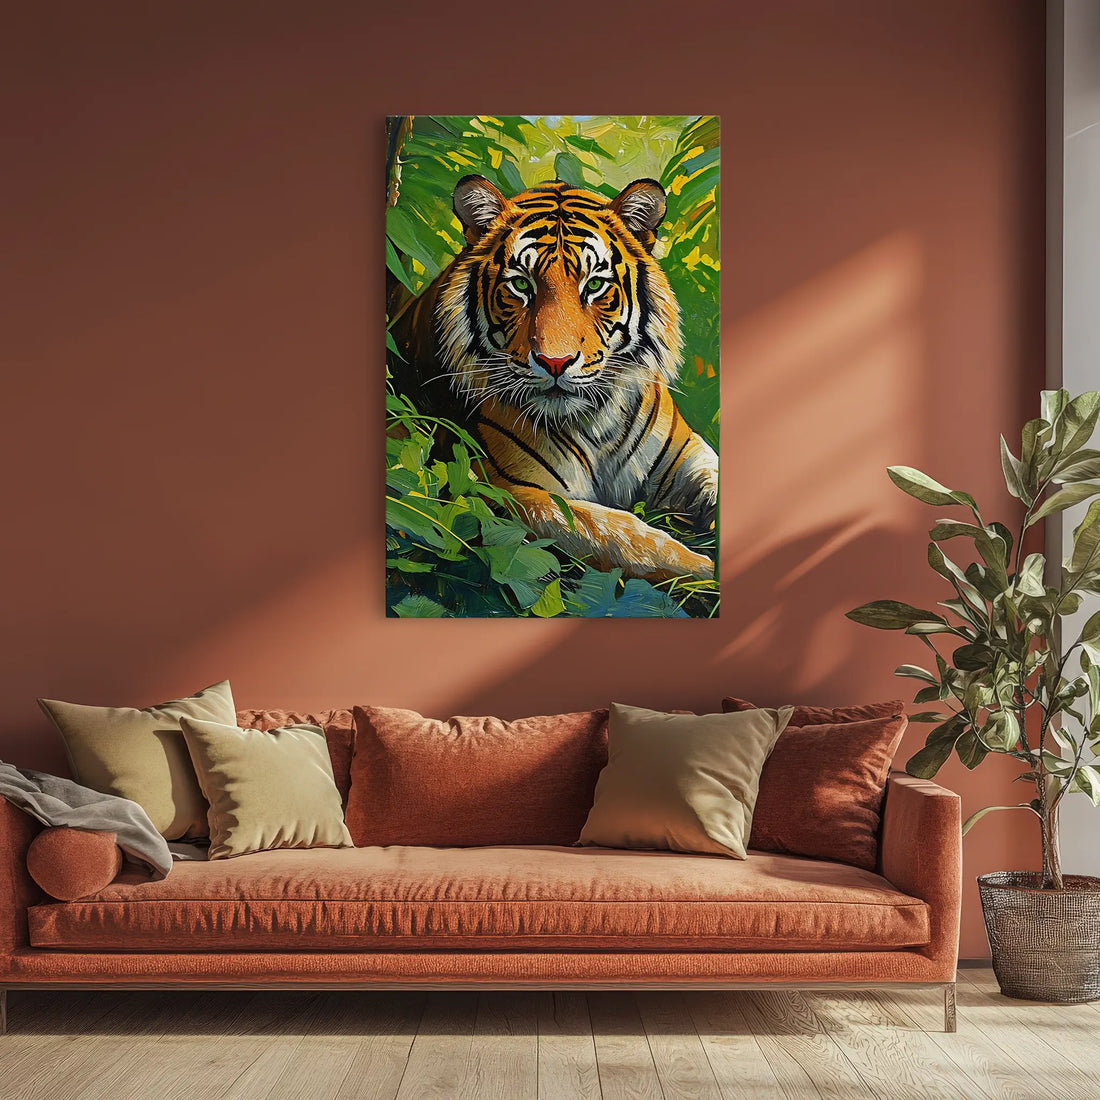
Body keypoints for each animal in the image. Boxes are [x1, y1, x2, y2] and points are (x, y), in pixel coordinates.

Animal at [390, 174, 718, 582]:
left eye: (593, 286)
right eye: (521, 285)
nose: (555, 362)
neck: (597, 423)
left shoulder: (688, 454)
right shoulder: (512, 491)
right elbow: (621, 534)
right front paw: (705, 570)